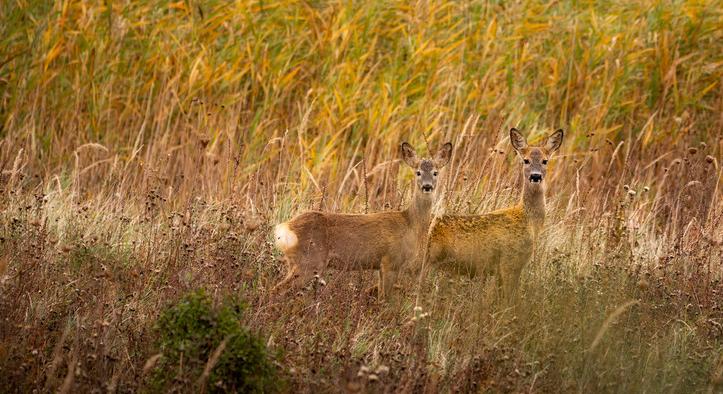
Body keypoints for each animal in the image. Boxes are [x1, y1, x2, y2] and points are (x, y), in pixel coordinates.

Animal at [272, 141, 452, 298]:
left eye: (435, 173)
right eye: (418, 172)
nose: (427, 186)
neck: (410, 224)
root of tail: (285, 228)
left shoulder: (381, 266)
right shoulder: (391, 261)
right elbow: (385, 299)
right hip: (310, 262)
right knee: (276, 290)